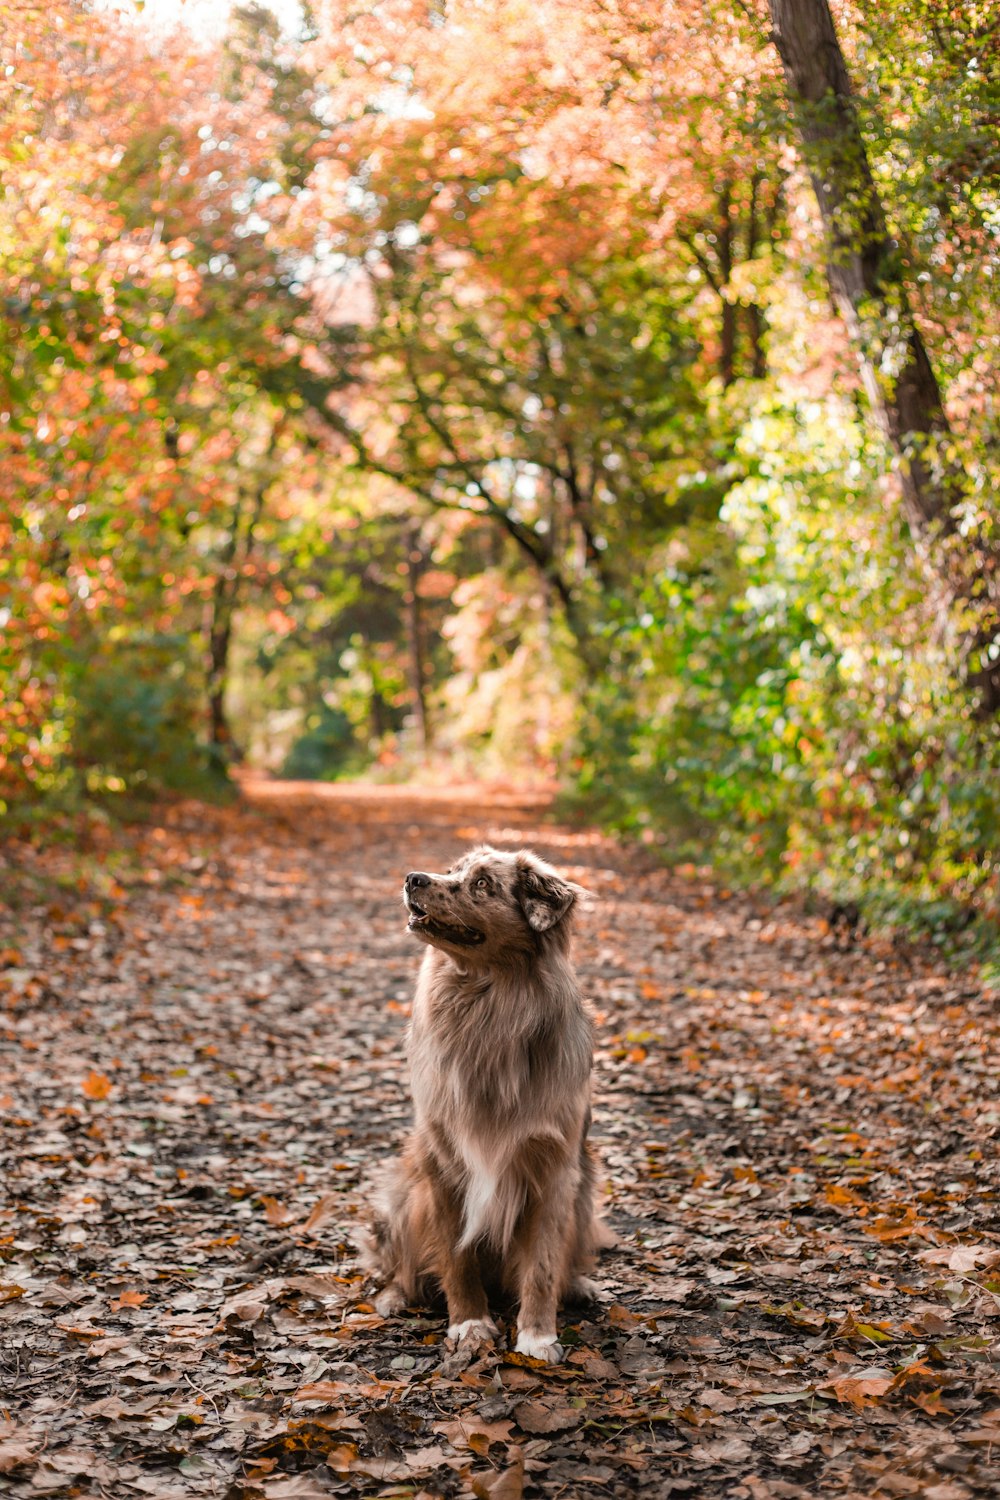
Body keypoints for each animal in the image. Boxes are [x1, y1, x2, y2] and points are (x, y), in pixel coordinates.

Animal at [365, 852, 605, 1368]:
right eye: (454, 868)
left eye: (481, 885)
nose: (413, 878)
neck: (489, 1003)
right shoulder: (442, 1163)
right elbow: (457, 1257)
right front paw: (469, 1326)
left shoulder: (555, 1170)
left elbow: (542, 1264)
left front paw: (537, 1336)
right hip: (406, 1198)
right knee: (398, 1263)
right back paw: (395, 1295)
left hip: (584, 1199)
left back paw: (578, 1286)